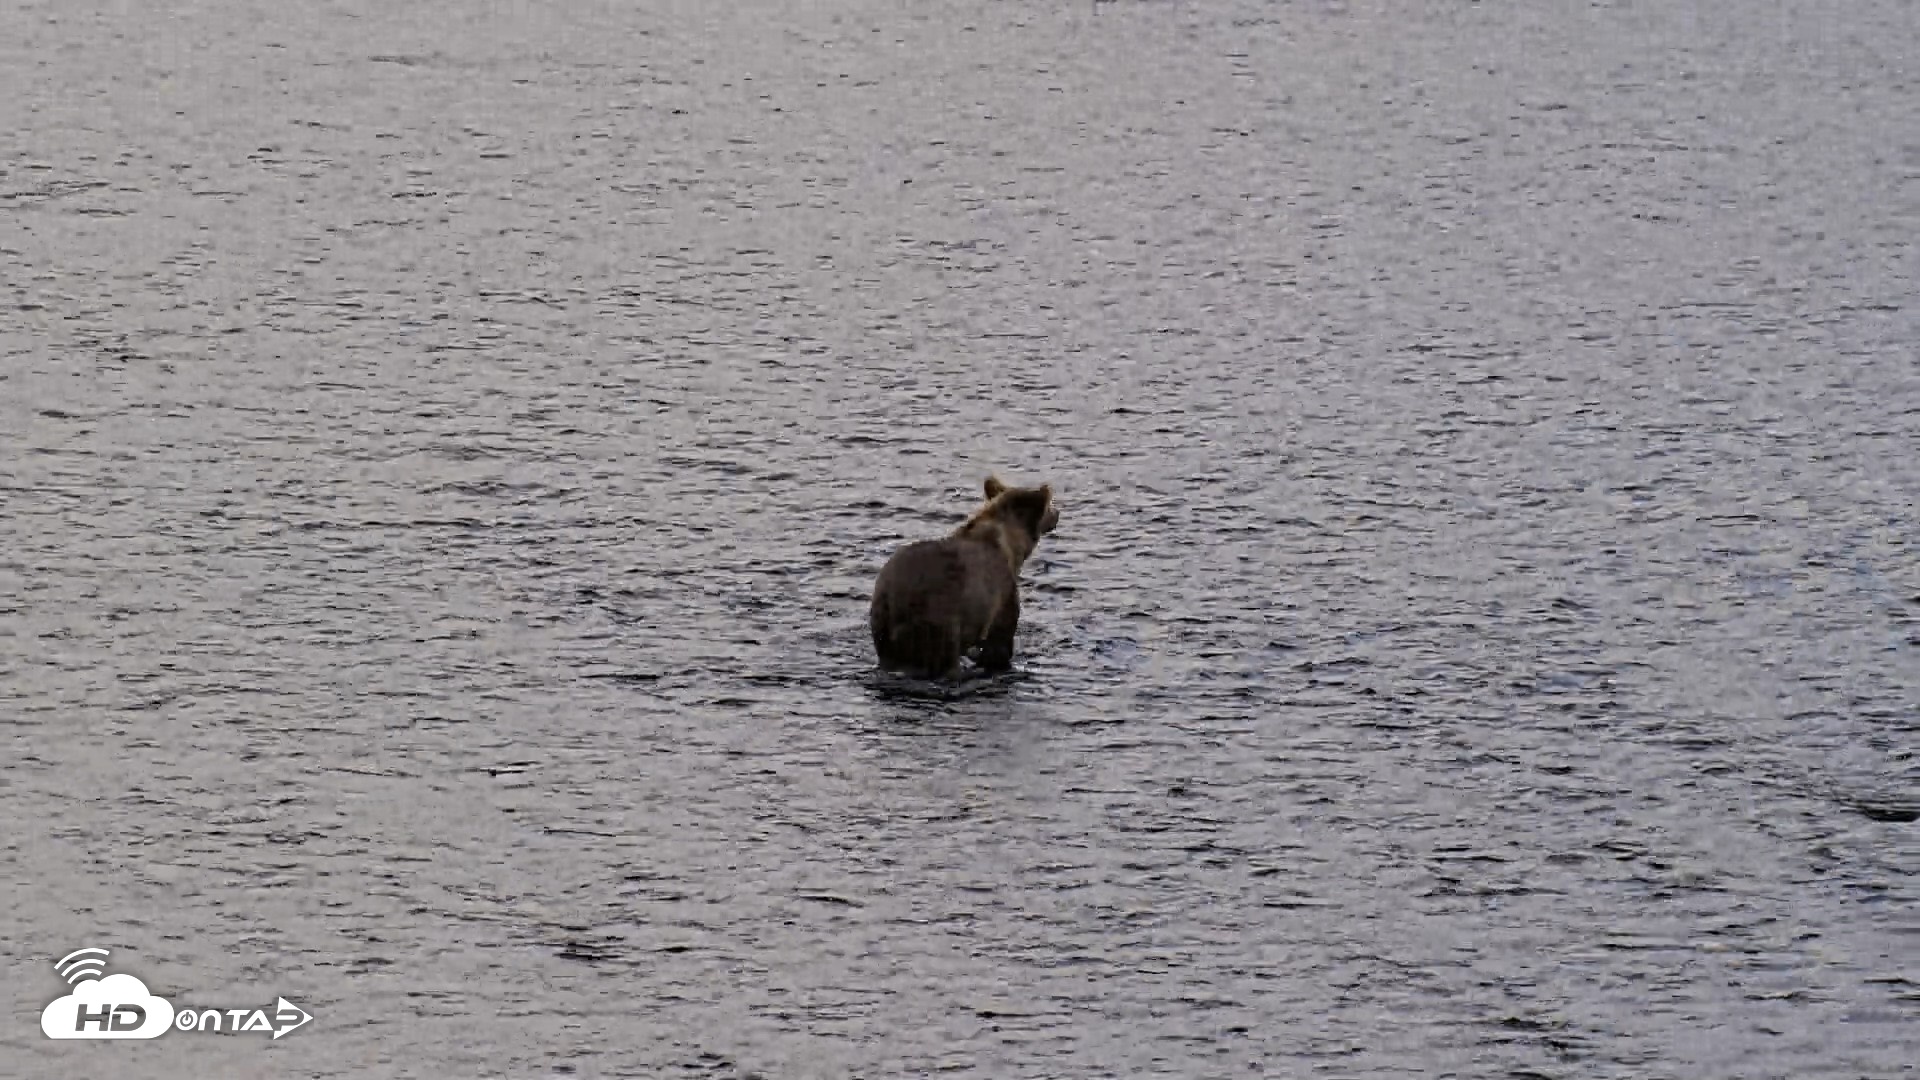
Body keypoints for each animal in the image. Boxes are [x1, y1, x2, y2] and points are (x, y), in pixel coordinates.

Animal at [870, 476, 1060, 680]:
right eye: (1050, 505)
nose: (1057, 512)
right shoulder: (1001, 592)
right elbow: (1000, 642)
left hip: (882, 619)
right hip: (939, 618)